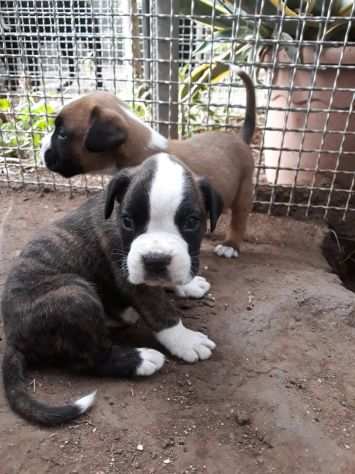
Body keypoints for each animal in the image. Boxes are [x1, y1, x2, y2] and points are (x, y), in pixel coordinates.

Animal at [2, 153, 222, 426]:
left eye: (192, 222)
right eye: (127, 221)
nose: (155, 260)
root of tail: (13, 336)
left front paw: (189, 284)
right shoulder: (132, 279)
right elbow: (162, 313)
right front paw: (185, 341)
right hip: (75, 295)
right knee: (89, 359)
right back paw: (140, 359)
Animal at [42, 69, 256, 260]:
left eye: (62, 135)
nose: (41, 146)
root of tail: (239, 138)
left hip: (244, 192)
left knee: (239, 219)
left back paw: (230, 245)